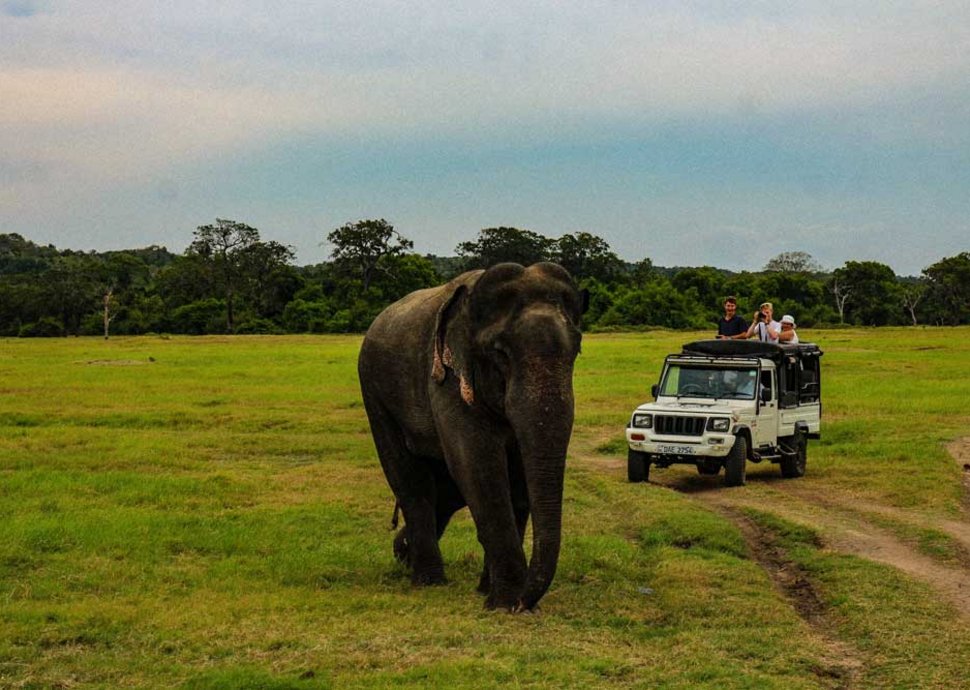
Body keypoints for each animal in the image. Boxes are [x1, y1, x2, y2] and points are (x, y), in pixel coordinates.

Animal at [356, 260, 584, 612]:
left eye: (577, 350)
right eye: (501, 353)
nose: (525, 603)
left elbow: (516, 474)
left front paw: (493, 593)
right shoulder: (447, 380)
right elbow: (477, 464)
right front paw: (505, 603)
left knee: (445, 491)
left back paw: (404, 554)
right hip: (374, 393)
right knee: (411, 480)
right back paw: (428, 580)